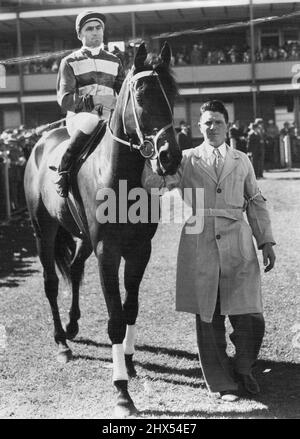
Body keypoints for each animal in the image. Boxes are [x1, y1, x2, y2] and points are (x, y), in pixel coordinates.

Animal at [24, 42, 180, 420]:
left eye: (173, 93)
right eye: (141, 94)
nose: (170, 156)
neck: (119, 176)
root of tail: (39, 143)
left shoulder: (140, 249)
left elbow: (130, 307)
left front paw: (129, 361)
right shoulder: (107, 252)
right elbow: (114, 319)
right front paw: (122, 391)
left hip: (81, 237)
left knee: (75, 269)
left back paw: (73, 326)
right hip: (43, 231)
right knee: (51, 283)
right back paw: (62, 342)